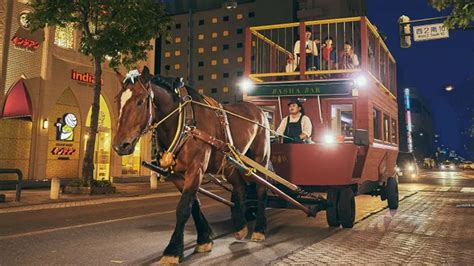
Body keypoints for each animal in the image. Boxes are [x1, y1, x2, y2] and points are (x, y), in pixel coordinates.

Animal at [112, 67, 270, 264]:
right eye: (117, 101)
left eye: (140, 101)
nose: (120, 145)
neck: (184, 123)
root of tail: (259, 110)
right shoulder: (178, 175)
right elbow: (193, 204)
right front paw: (204, 239)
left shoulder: (196, 168)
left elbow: (183, 208)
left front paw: (172, 250)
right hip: (229, 162)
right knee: (240, 186)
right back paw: (240, 225)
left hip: (260, 158)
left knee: (261, 189)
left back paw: (259, 229)